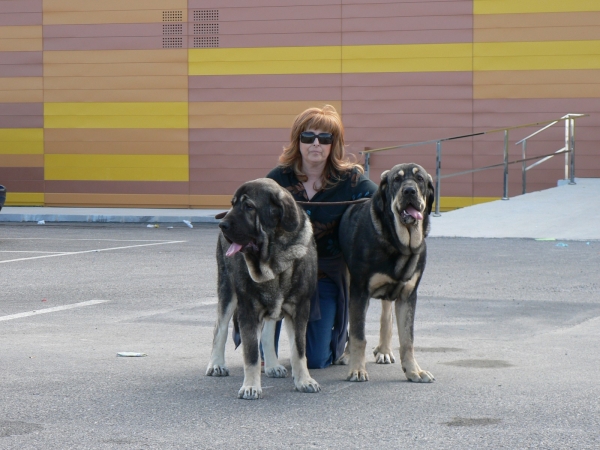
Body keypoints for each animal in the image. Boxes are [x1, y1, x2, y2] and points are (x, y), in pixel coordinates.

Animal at [205, 178, 322, 400]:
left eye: (249, 206)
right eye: (233, 204)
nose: (222, 225)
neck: (274, 258)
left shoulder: (300, 309)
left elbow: (299, 350)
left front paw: (304, 381)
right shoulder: (248, 310)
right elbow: (250, 353)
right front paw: (251, 387)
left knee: (268, 331)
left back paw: (272, 365)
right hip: (227, 290)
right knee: (219, 327)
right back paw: (216, 364)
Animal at [340, 163, 434, 382]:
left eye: (420, 179)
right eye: (397, 180)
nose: (409, 191)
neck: (399, 243)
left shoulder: (408, 295)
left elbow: (407, 339)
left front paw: (414, 371)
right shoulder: (359, 291)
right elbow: (358, 335)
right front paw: (357, 369)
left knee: (386, 316)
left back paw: (383, 350)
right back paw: (348, 355)